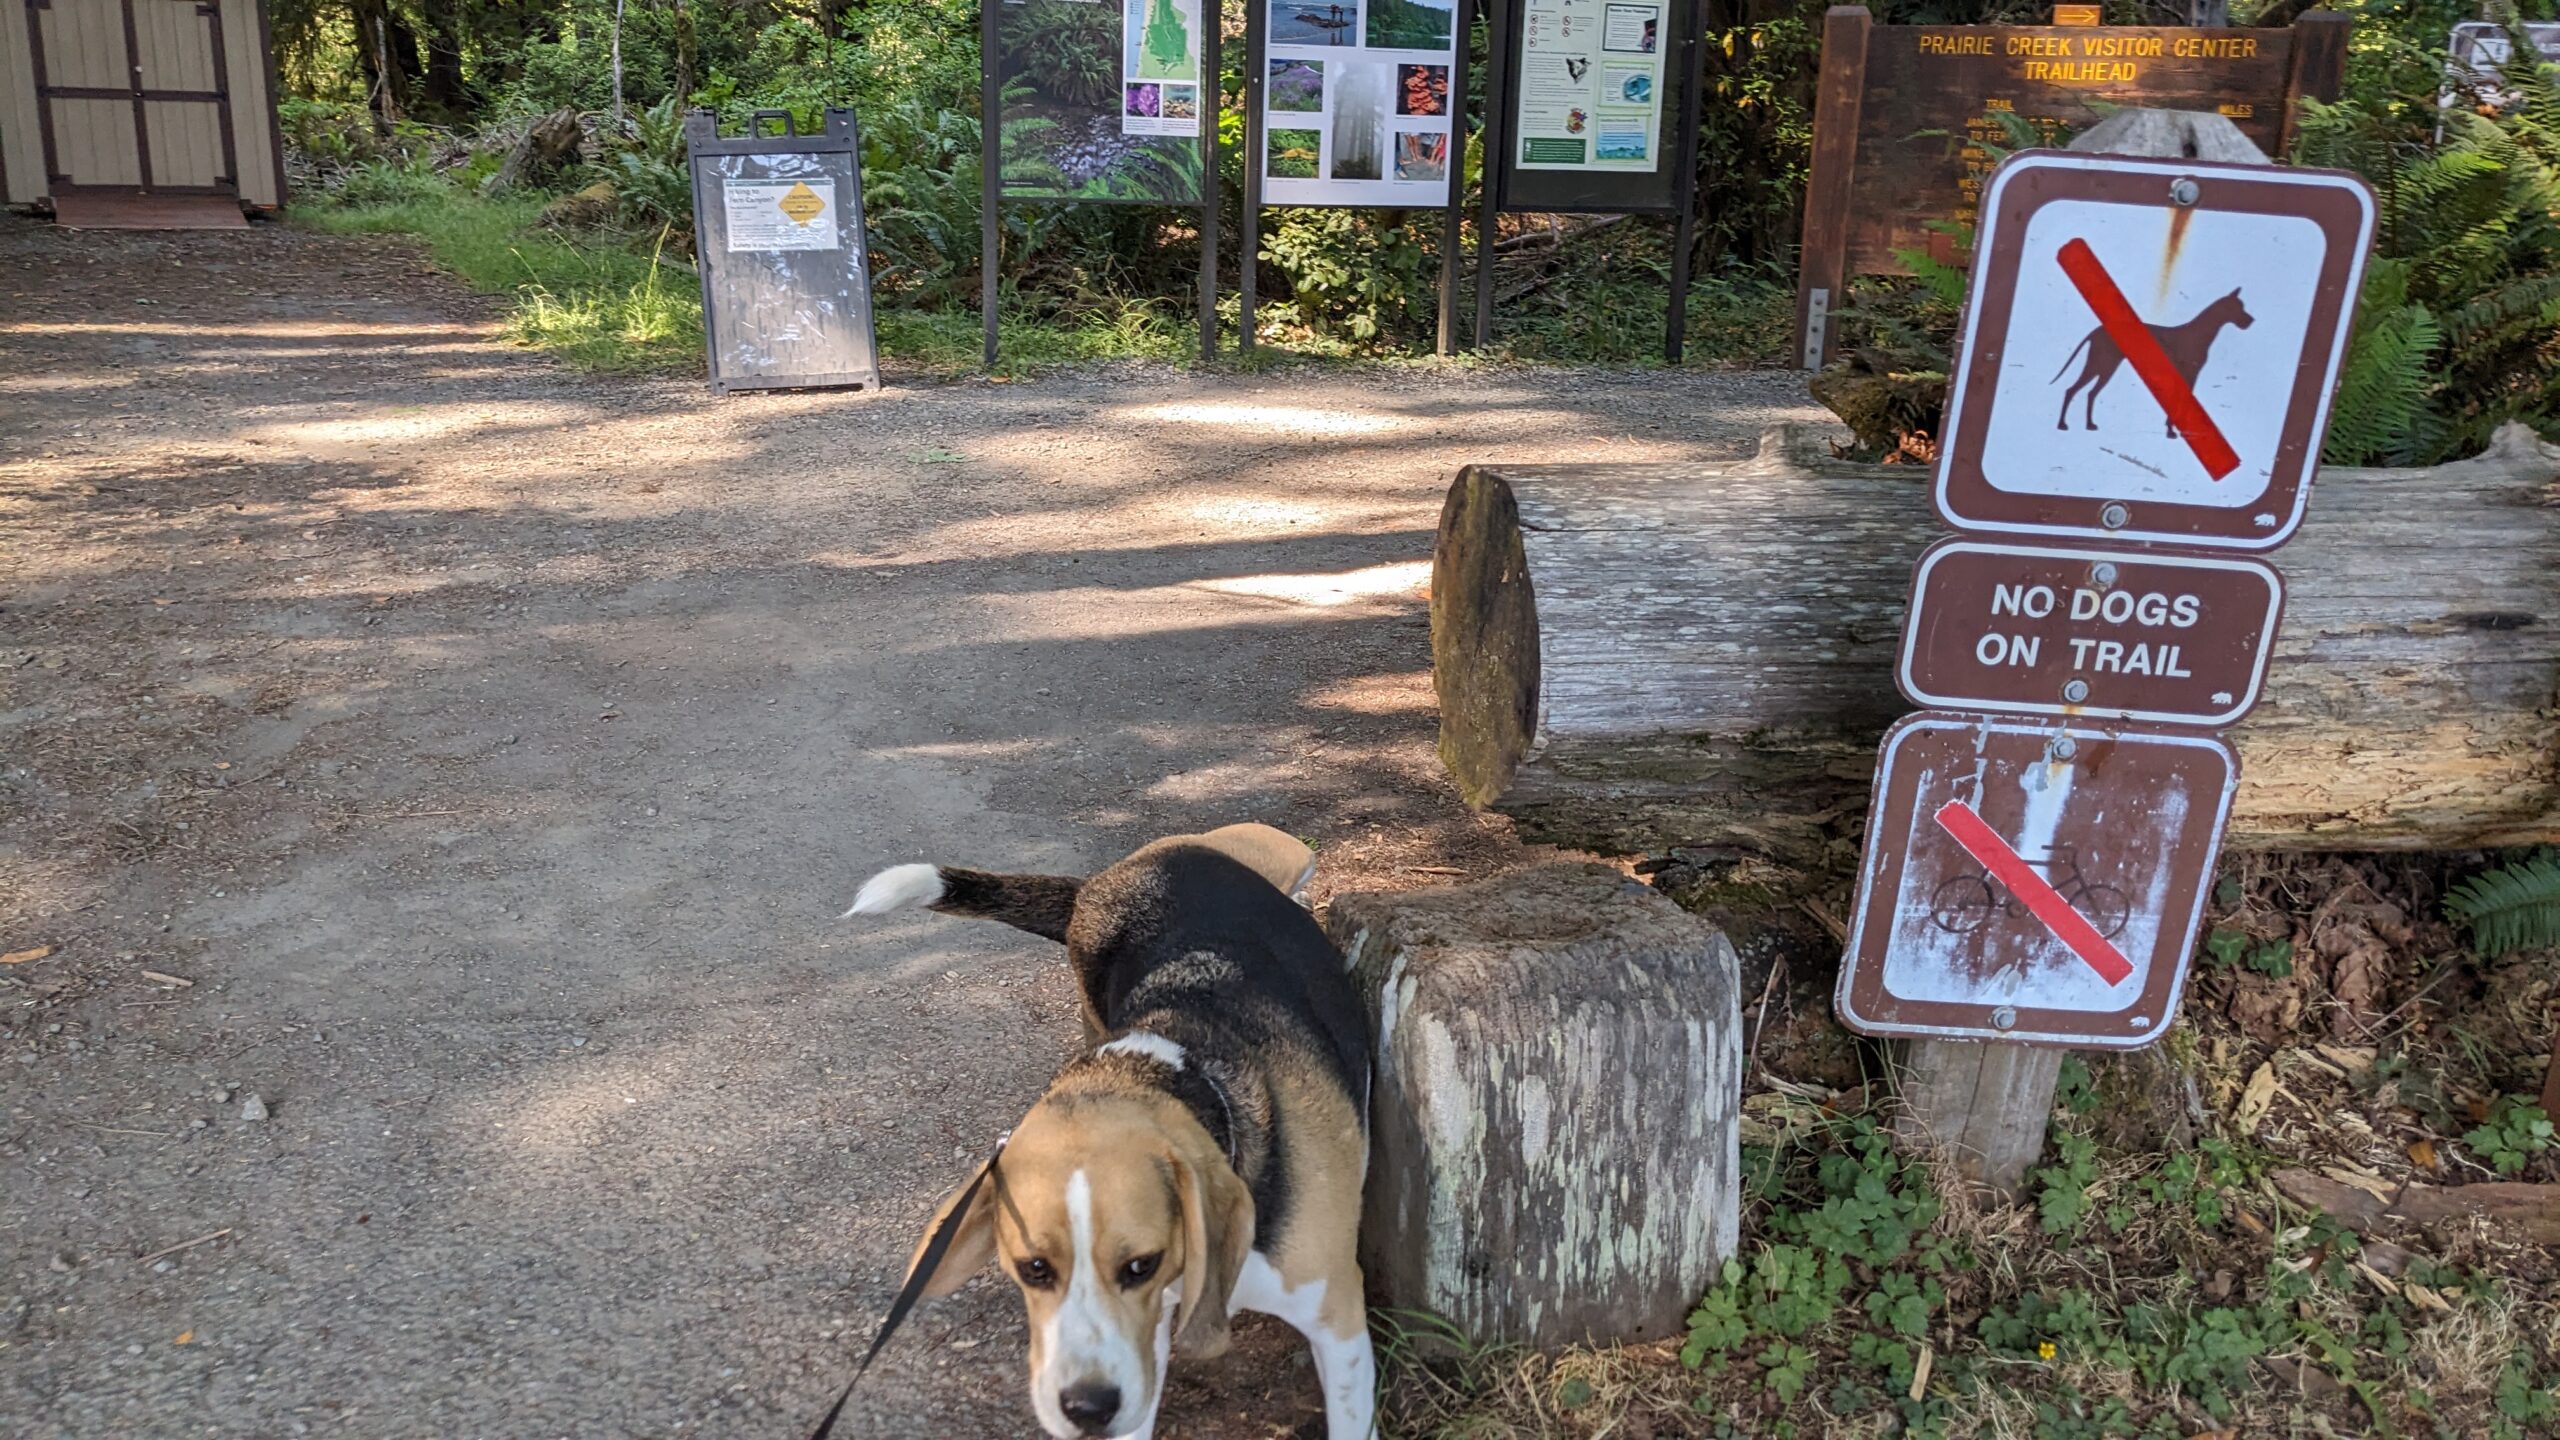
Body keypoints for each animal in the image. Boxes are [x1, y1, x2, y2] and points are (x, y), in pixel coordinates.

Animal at [849, 825, 1382, 1434]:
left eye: (1139, 1265)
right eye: (1033, 1269)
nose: (1086, 1408)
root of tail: (1103, 884)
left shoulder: (1339, 1324)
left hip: (1288, 853)